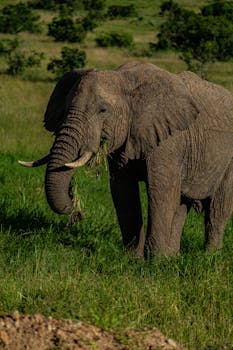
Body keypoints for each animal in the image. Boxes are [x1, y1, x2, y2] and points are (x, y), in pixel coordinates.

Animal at [18, 61, 233, 256]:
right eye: (64, 110)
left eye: (103, 110)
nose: (74, 204)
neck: (124, 79)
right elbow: (123, 191)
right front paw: (134, 259)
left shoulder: (170, 140)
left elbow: (160, 191)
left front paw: (155, 263)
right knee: (182, 205)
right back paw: (174, 256)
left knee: (217, 210)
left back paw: (208, 257)